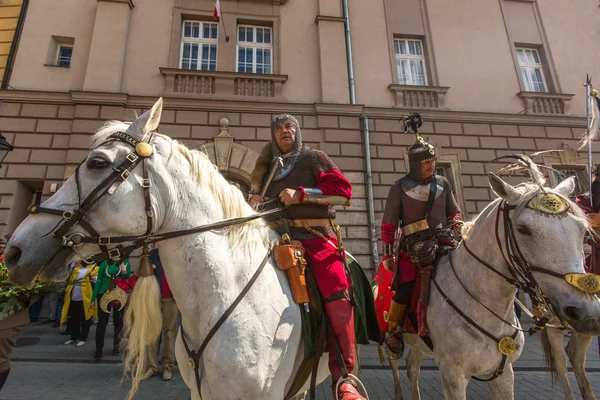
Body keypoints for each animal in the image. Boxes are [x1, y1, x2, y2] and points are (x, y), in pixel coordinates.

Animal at [382, 177, 600, 398]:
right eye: (523, 229)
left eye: (582, 230)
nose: (586, 311)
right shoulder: (453, 375)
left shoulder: (503, 373)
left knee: (412, 367)